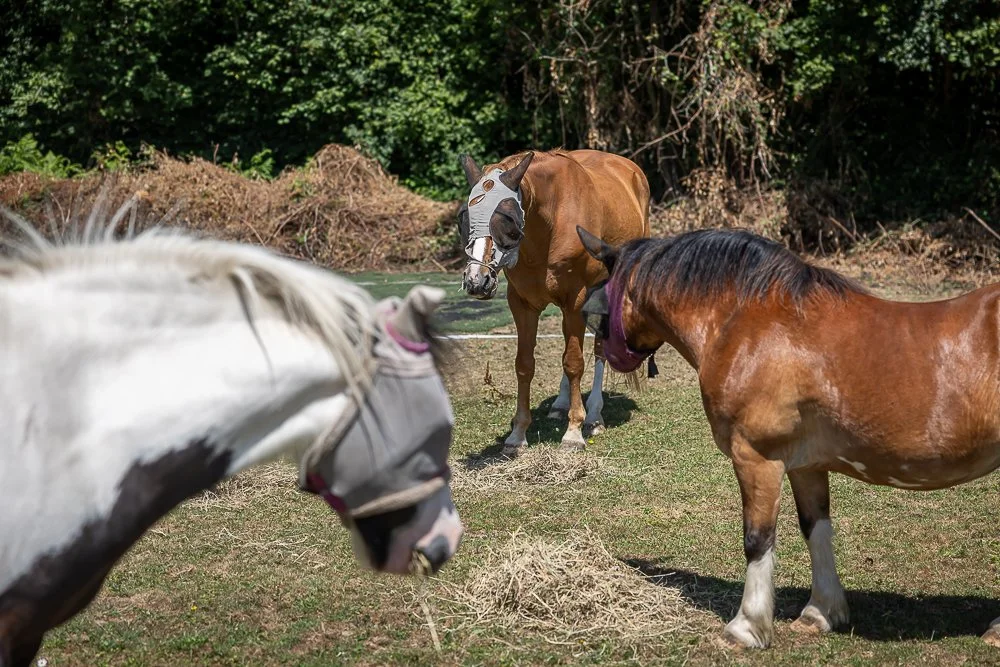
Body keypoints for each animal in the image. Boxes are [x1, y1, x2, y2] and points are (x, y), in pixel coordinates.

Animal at [457, 149, 656, 454]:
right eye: (465, 219)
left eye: (507, 220)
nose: (476, 281)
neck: (549, 222)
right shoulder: (522, 304)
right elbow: (524, 364)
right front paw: (517, 435)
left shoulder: (575, 300)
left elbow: (573, 361)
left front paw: (573, 433)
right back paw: (561, 404)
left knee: (599, 348)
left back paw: (594, 415)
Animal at [576, 225, 1000, 649]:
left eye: (599, 303)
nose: (601, 351)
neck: (749, 324)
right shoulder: (805, 466)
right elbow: (815, 528)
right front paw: (821, 613)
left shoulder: (756, 458)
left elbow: (757, 539)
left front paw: (746, 627)